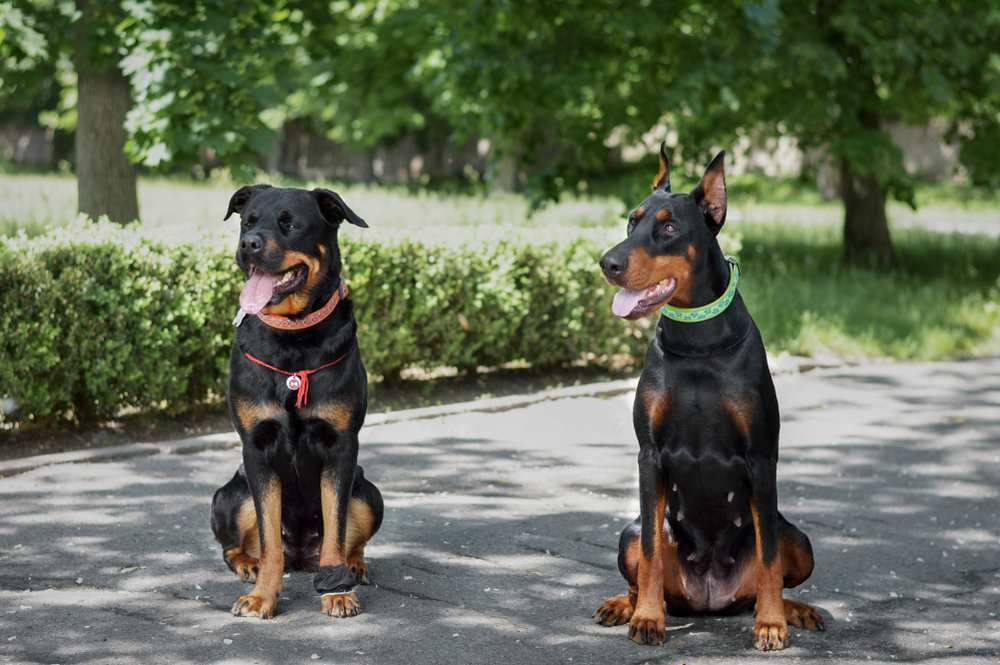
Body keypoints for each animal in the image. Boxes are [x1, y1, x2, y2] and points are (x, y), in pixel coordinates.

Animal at [211, 184, 382, 620]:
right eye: (247, 221)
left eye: (290, 224)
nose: (248, 245)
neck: (292, 336)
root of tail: (302, 557)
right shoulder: (256, 448)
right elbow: (269, 539)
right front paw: (262, 596)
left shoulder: (341, 446)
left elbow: (336, 530)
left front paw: (337, 591)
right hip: (230, 495)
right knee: (235, 544)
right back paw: (248, 564)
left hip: (368, 492)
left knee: (350, 539)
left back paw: (354, 564)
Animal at [592, 145, 820, 648]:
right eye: (631, 221)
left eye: (669, 228)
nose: (607, 263)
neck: (697, 341)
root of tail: (710, 601)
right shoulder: (649, 455)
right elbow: (652, 552)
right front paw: (648, 618)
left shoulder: (761, 457)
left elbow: (770, 558)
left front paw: (771, 623)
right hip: (629, 534)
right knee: (642, 562)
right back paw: (627, 605)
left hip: (800, 540)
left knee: (774, 569)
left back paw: (791, 610)